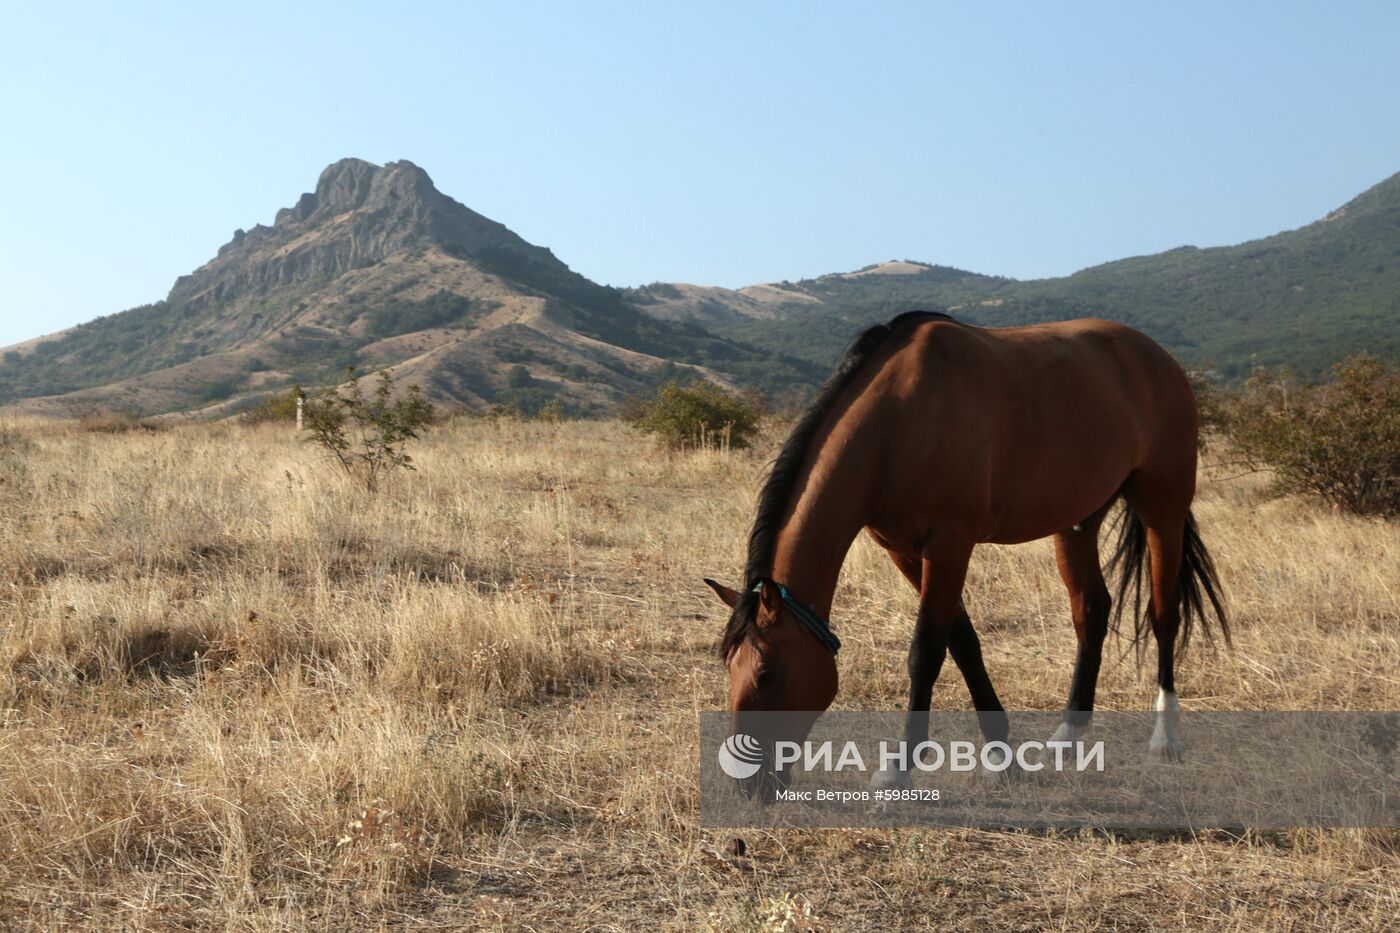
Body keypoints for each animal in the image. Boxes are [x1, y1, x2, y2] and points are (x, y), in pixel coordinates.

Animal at [705, 311, 1220, 784]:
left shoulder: (950, 545)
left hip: (1162, 508)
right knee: (1091, 610)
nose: (745, 783)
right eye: (729, 667)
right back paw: (1066, 738)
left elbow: (926, 651)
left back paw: (1164, 738)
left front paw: (899, 768)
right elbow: (963, 642)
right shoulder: (904, 551)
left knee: (1163, 614)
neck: (898, 422)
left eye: (768, 674)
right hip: (1077, 521)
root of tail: (1159, 358)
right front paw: (1001, 753)